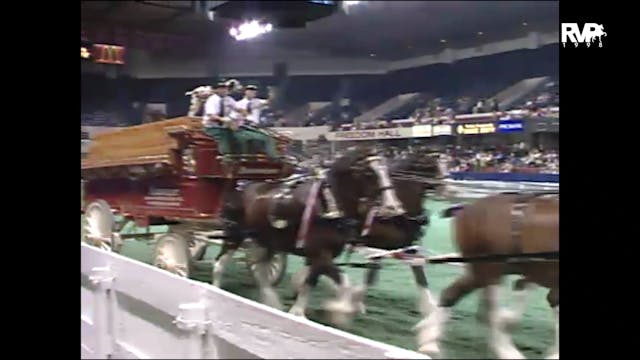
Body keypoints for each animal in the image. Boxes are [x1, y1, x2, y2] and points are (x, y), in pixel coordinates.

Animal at [212, 146, 408, 326]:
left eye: (388, 171)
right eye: (369, 173)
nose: (394, 207)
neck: (328, 204)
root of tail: (241, 185)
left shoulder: (321, 255)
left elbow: (311, 282)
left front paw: (299, 312)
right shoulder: (319, 252)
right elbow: (342, 282)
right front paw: (340, 311)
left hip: (265, 240)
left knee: (261, 272)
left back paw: (271, 301)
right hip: (234, 235)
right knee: (220, 263)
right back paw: (215, 290)